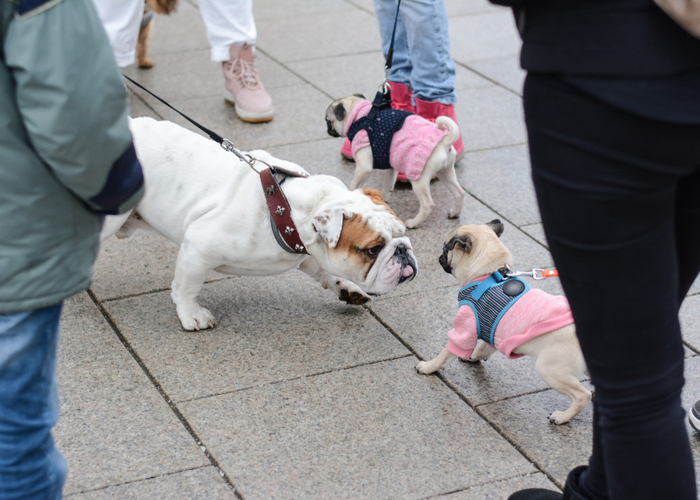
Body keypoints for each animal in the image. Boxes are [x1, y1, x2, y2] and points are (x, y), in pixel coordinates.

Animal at [416, 221, 592, 424]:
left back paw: (562, 417)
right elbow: (484, 346)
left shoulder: (465, 327)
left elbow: (446, 354)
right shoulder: (491, 328)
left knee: (583, 395)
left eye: (446, 249)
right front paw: (472, 356)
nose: (440, 257)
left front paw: (428, 366)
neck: (488, 272)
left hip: (551, 369)